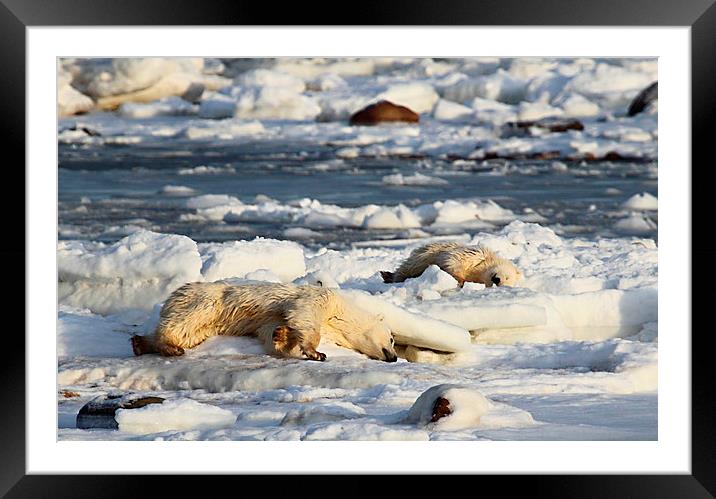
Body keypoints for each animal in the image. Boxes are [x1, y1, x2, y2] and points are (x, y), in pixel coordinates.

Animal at [132, 284, 400, 362]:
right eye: (392, 339)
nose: (394, 357)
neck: (339, 313)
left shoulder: (271, 317)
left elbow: (272, 329)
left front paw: (281, 336)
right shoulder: (319, 298)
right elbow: (305, 316)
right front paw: (317, 353)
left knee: (189, 332)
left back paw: (141, 344)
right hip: (205, 300)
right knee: (183, 322)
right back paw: (169, 347)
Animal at [380, 243, 520, 288]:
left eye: (507, 280)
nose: (497, 280)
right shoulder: (477, 256)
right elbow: (453, 260)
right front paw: (459, 279)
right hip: (424, 254)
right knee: (409, 267)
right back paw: (388, 276)